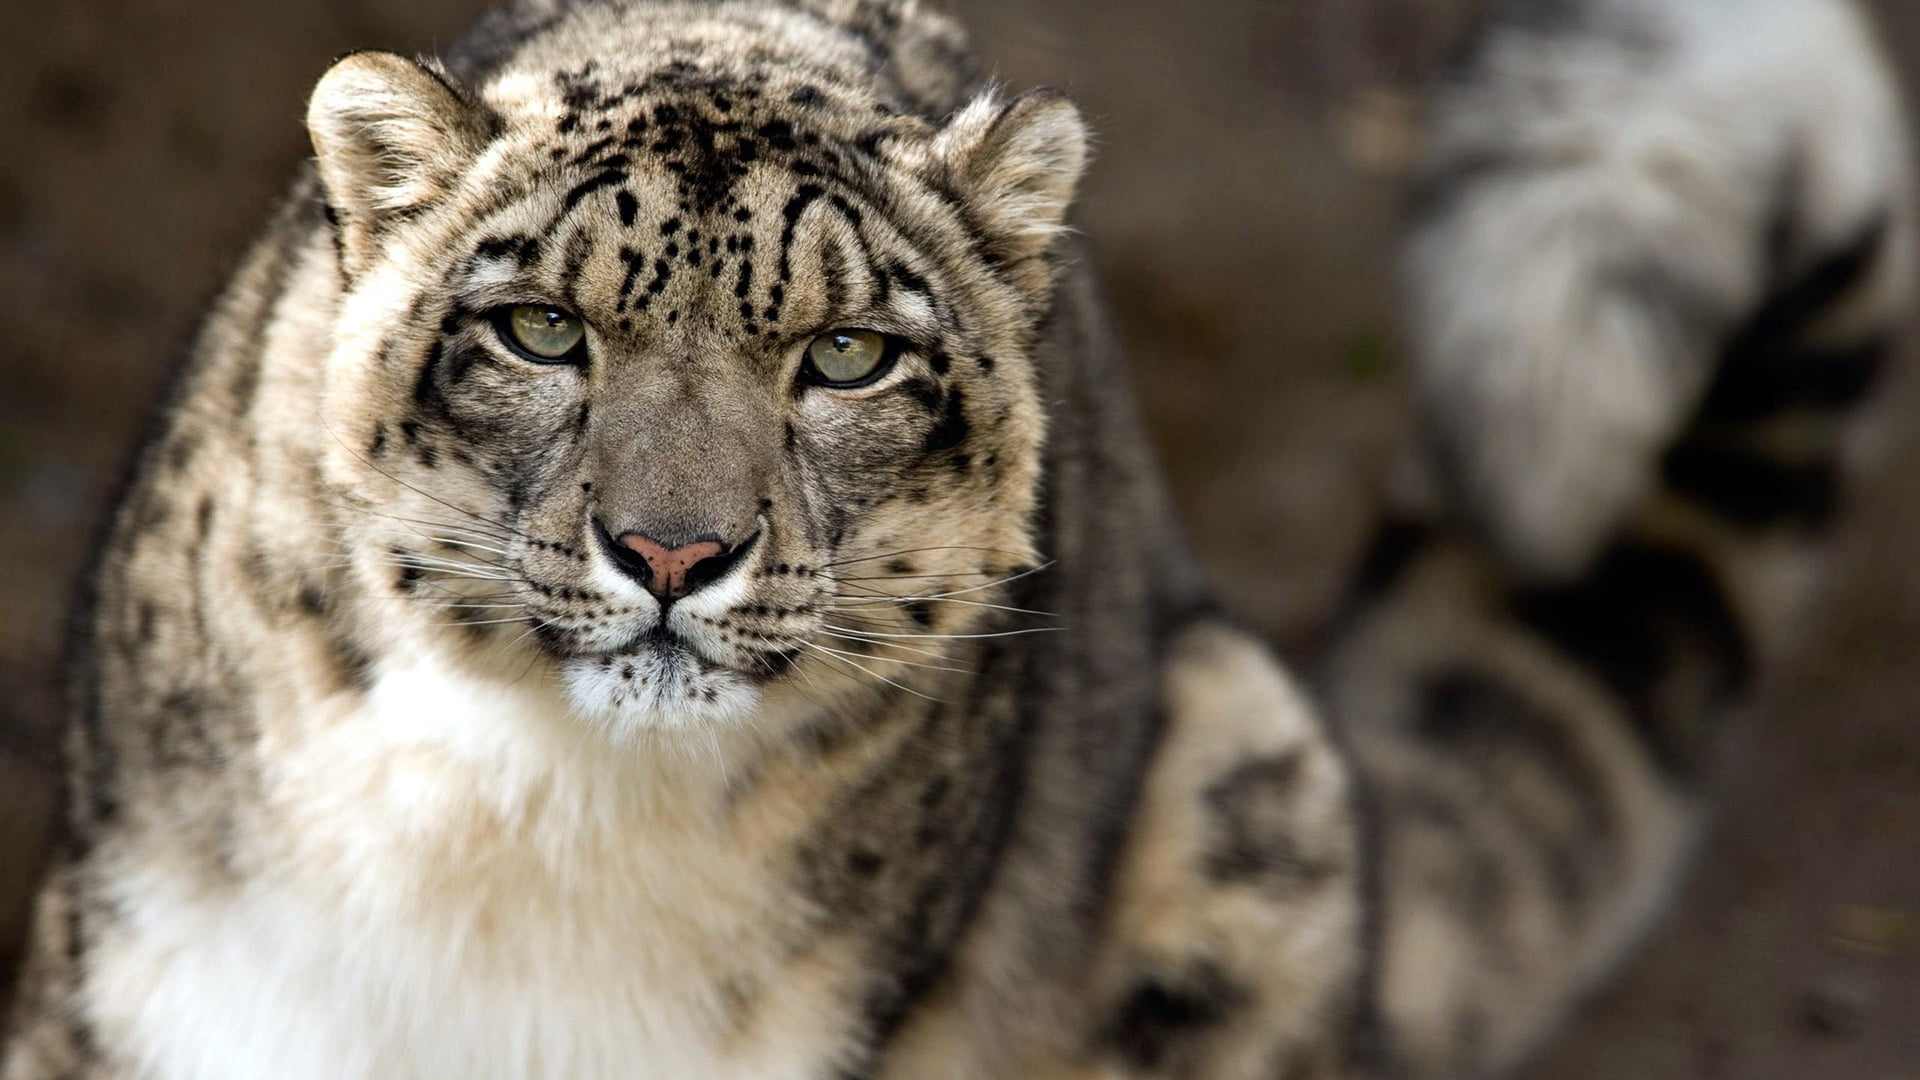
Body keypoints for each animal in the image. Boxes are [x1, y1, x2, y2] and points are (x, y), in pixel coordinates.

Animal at [2, 0, 1910, 1077]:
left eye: (850, 355)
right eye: (541, 330)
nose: (673, 554)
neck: (520, 836)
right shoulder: (137, 989)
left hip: (1251, 798)